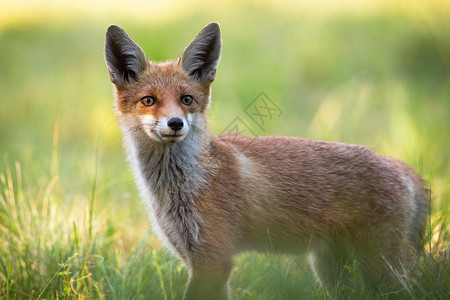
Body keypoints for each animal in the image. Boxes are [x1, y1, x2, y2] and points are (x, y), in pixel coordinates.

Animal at [104, 22, 428, 298]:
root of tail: (403, 167)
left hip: (381, 267)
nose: (175, 123)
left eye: (187, 100)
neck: (180, 188)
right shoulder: (196, 257)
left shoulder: (214, 259)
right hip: (332, 270)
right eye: (148, 100)